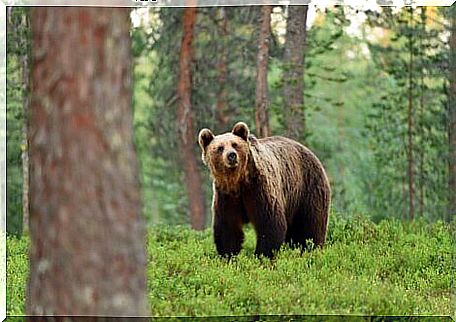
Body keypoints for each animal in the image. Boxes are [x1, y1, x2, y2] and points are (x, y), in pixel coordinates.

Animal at [198, 122, 330, 258]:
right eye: (220, 148)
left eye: (235, 144)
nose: (231, 155)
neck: (238, 182)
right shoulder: (226, 196)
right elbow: (228, 229)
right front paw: (229, 256)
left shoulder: (259, 190)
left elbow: (269, 224)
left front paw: (261, 256)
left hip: (307, 188)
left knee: (311, 226)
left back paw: (311, 249)